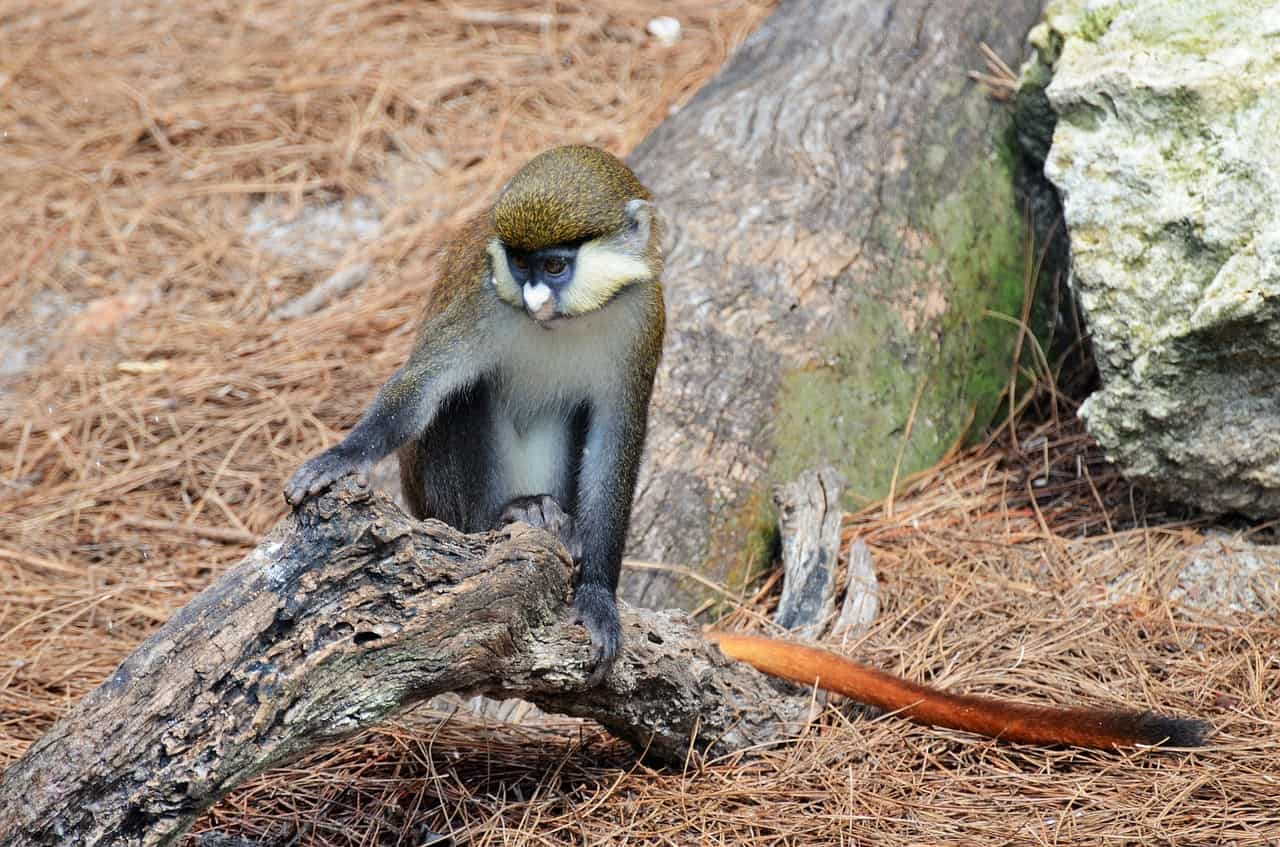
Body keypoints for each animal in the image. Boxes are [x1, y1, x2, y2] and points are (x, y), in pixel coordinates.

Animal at [285, 145, 664, 684]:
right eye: (519, 263)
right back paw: (502, 518)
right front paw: (342, 455)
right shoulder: (482, 304)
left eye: (554, 266)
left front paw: (596, 596)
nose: (532, 299)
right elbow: (425, 385)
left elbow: (614, 445)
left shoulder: (644, 319)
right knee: (467, 395)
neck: (566, 323)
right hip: (440, 507)